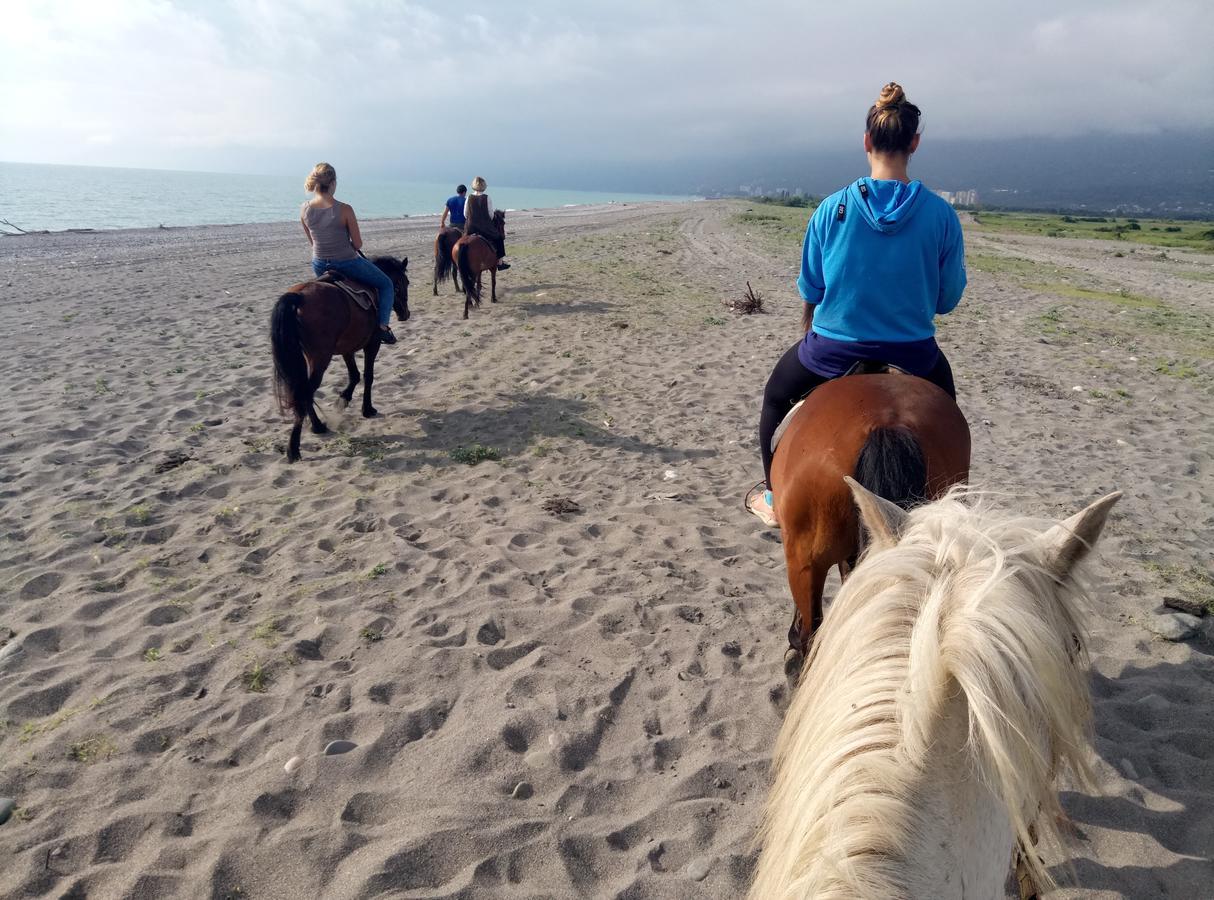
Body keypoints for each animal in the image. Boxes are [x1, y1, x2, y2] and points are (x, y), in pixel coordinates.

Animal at [269, 255, 410, 459]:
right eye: (404, 283)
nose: (406, 314)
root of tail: (300, 297)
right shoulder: (372, 344)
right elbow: (368, 376)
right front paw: (367, 409)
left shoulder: (347, 348)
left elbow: (354, 375)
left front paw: (343, 399)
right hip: (320, 358)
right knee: (305, 392)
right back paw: (294, 447)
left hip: (308, 357)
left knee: (304, 390)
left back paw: (317, 426)